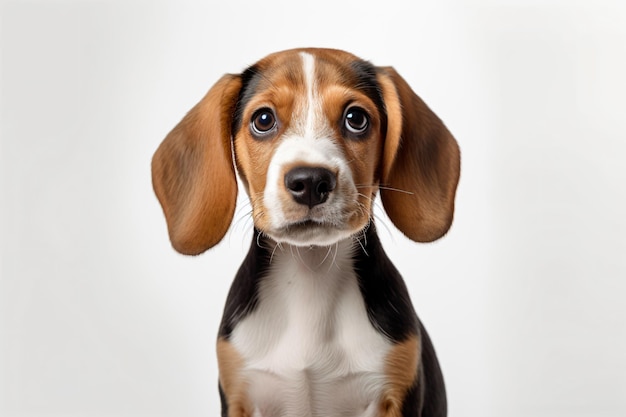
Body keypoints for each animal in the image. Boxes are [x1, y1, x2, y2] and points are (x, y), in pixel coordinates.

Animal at [151, 48, 458, 416]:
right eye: (263, 120)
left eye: (356, 118)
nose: (310, 181)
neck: (310, 274)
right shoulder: (239, 396)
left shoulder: (397, 393)